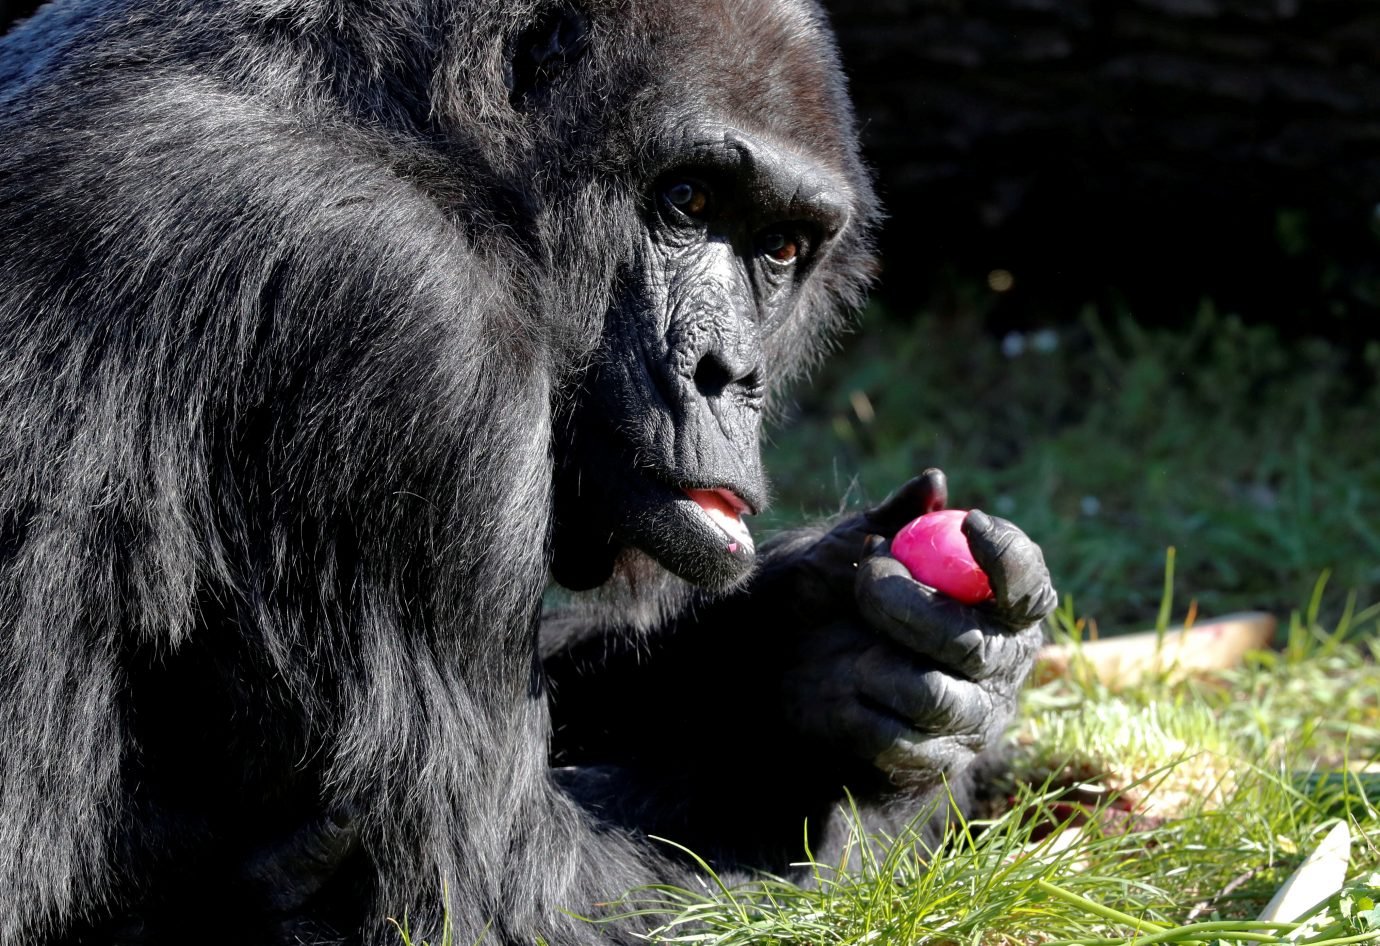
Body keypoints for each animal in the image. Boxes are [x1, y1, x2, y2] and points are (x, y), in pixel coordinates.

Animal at [2, 0, 1054, 943]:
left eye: (783, 248)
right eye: (688, 202)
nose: (730, 374)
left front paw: (821, 658)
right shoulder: (409, 328)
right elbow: (501, 898)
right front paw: (876, 798)